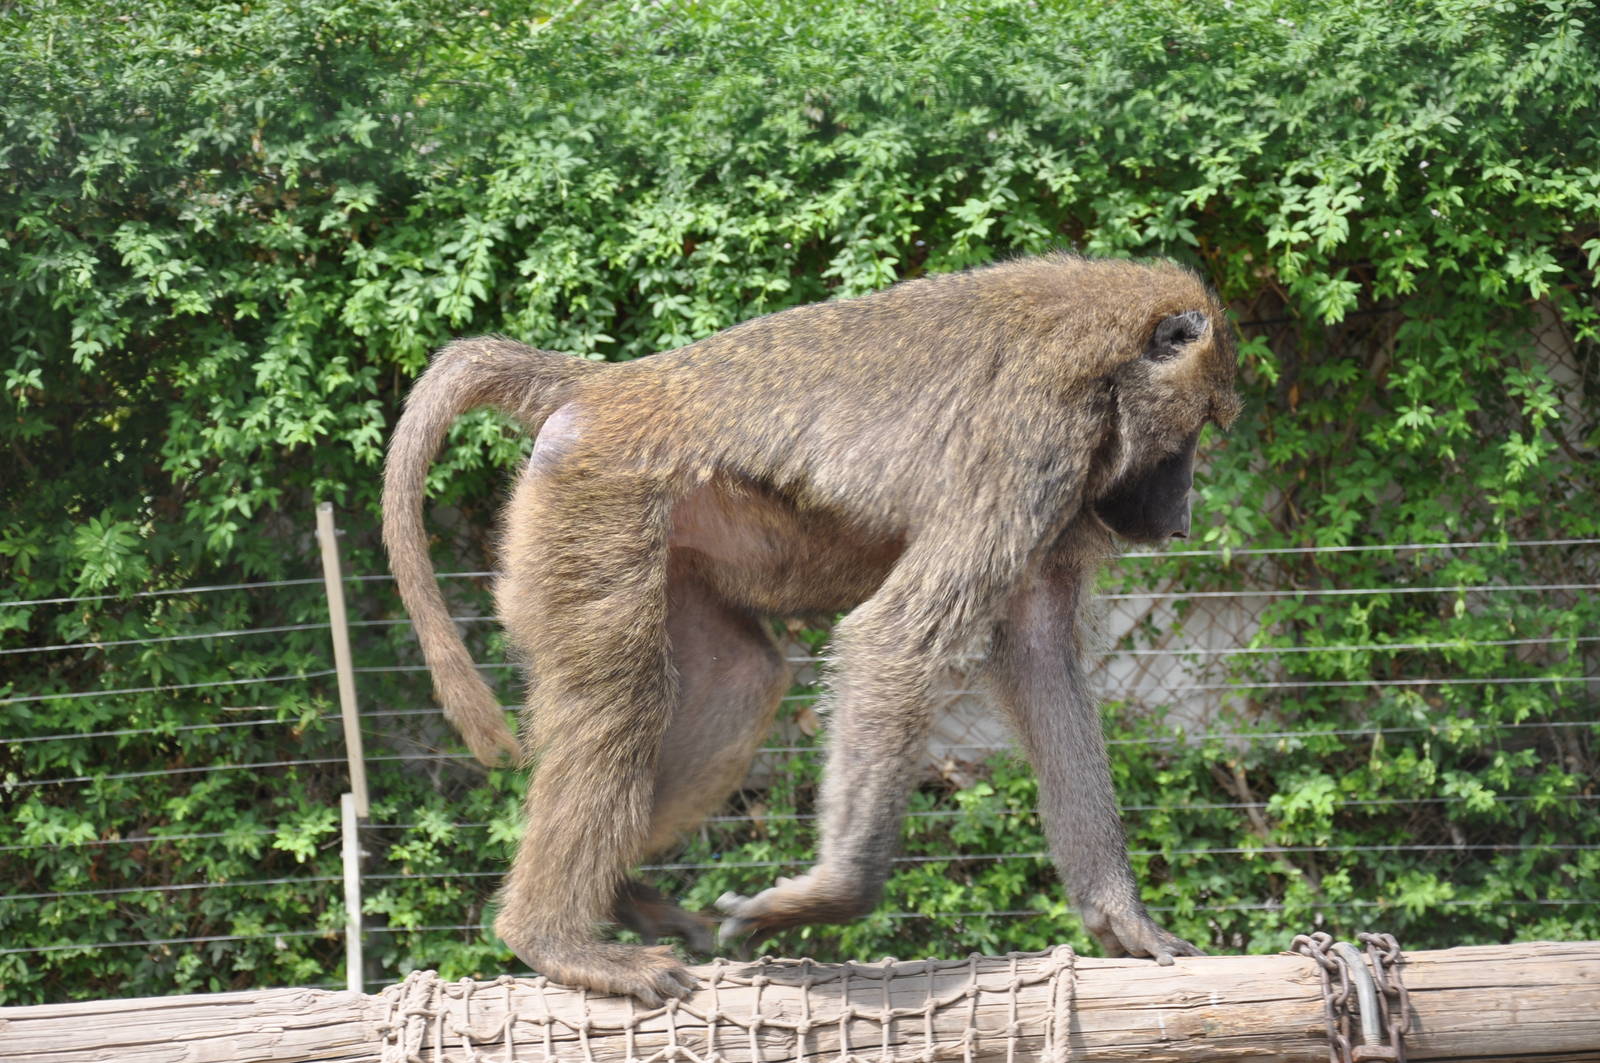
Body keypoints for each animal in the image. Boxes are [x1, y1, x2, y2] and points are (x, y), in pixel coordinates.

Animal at [382, 253, 1242, 1006]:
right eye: (1195, 431)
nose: (1182, 512)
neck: (1100, 358)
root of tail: (613, 380)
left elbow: (1038, 659)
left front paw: (1122, 918)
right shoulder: (1035, 437)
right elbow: (896, 638)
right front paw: (826, 897)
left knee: (740, 681)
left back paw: (623, 895)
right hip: (594, 496)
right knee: (620, 701)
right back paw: (553, 939)